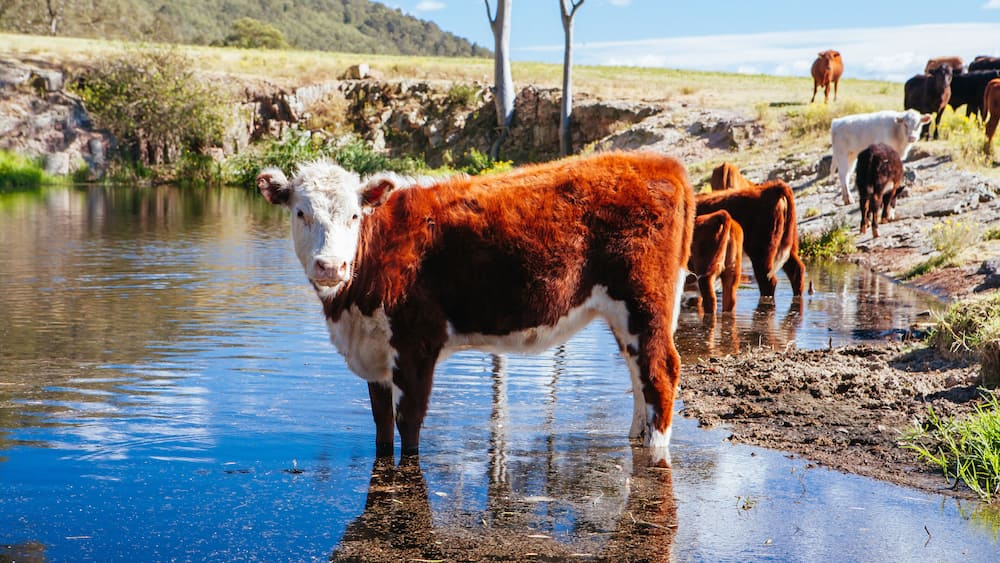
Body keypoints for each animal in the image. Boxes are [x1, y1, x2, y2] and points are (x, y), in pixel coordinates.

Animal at [256, 151, 695, 467]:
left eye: (353, 215)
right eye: (300, 213)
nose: (331, 266)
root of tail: (661, 163)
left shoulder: (416, 343)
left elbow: (408, 423)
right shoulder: (375, 350)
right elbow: (381, 424)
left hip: (644, 301)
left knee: (660, 372)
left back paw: (656, 451)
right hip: (626, 315)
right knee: (638, 373)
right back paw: (636, 438)